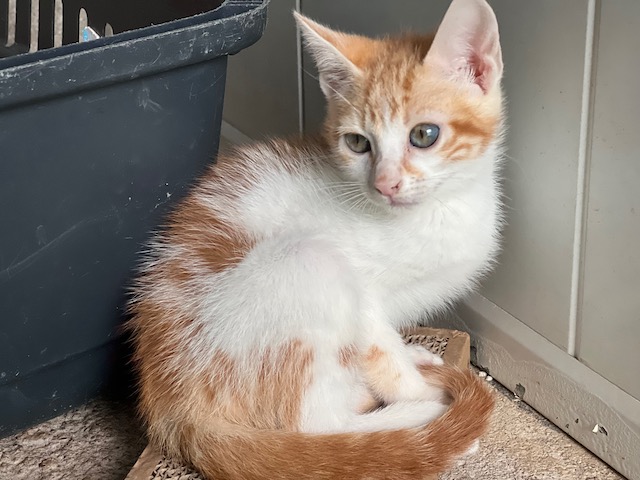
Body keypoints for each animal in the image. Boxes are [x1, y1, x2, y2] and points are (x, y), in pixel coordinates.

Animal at [128, 0, 503, 478]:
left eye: (424, 134)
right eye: (358, 143)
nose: (385, 184)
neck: (436, 212)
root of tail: (172, 408)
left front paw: (411, 357)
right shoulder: (365, 298)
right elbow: (382, 353)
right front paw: (419, 392)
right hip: (310, 262)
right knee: (316, 427)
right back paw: (413, 420)